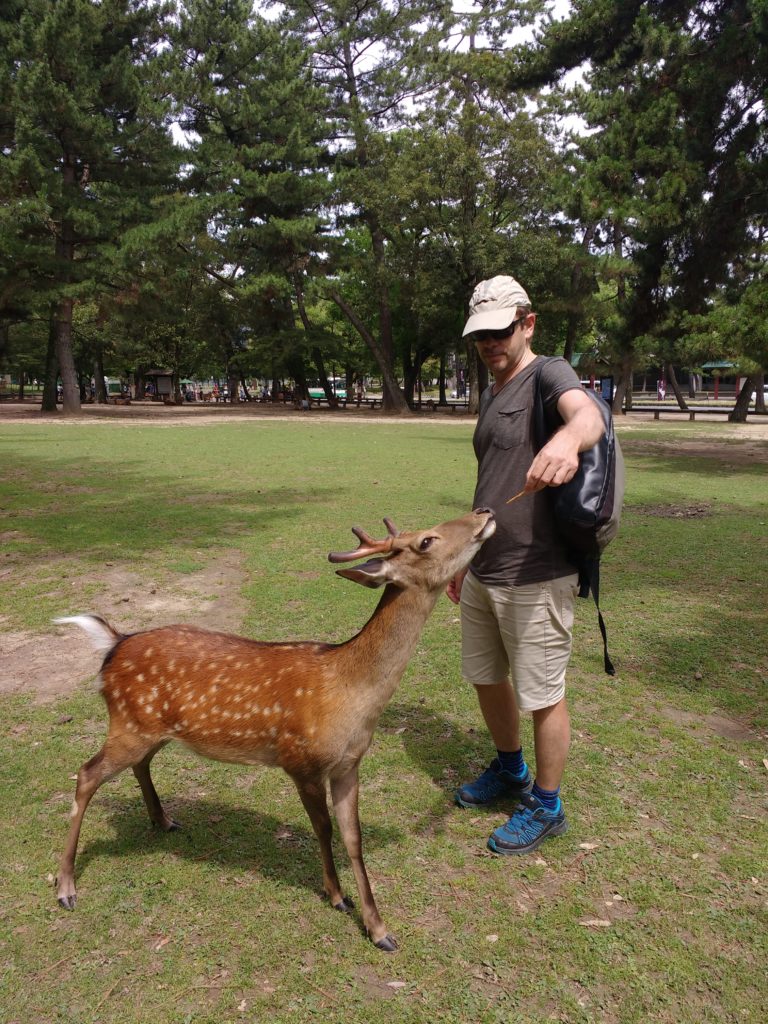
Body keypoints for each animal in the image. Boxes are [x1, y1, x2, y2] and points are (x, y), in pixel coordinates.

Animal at [55, 507, 499, 946]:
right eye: (426, 541)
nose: (485, 511)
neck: (350, 694)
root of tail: (114, 644)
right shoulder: (300, 761)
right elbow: (323, 829)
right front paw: (337, 896)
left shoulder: (349, 765)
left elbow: (354, 838)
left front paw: (379, 930)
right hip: (128, 724)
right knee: (86, 773)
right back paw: (65, 887)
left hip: (150, 728)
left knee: (138, 765)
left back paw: (163, 821)